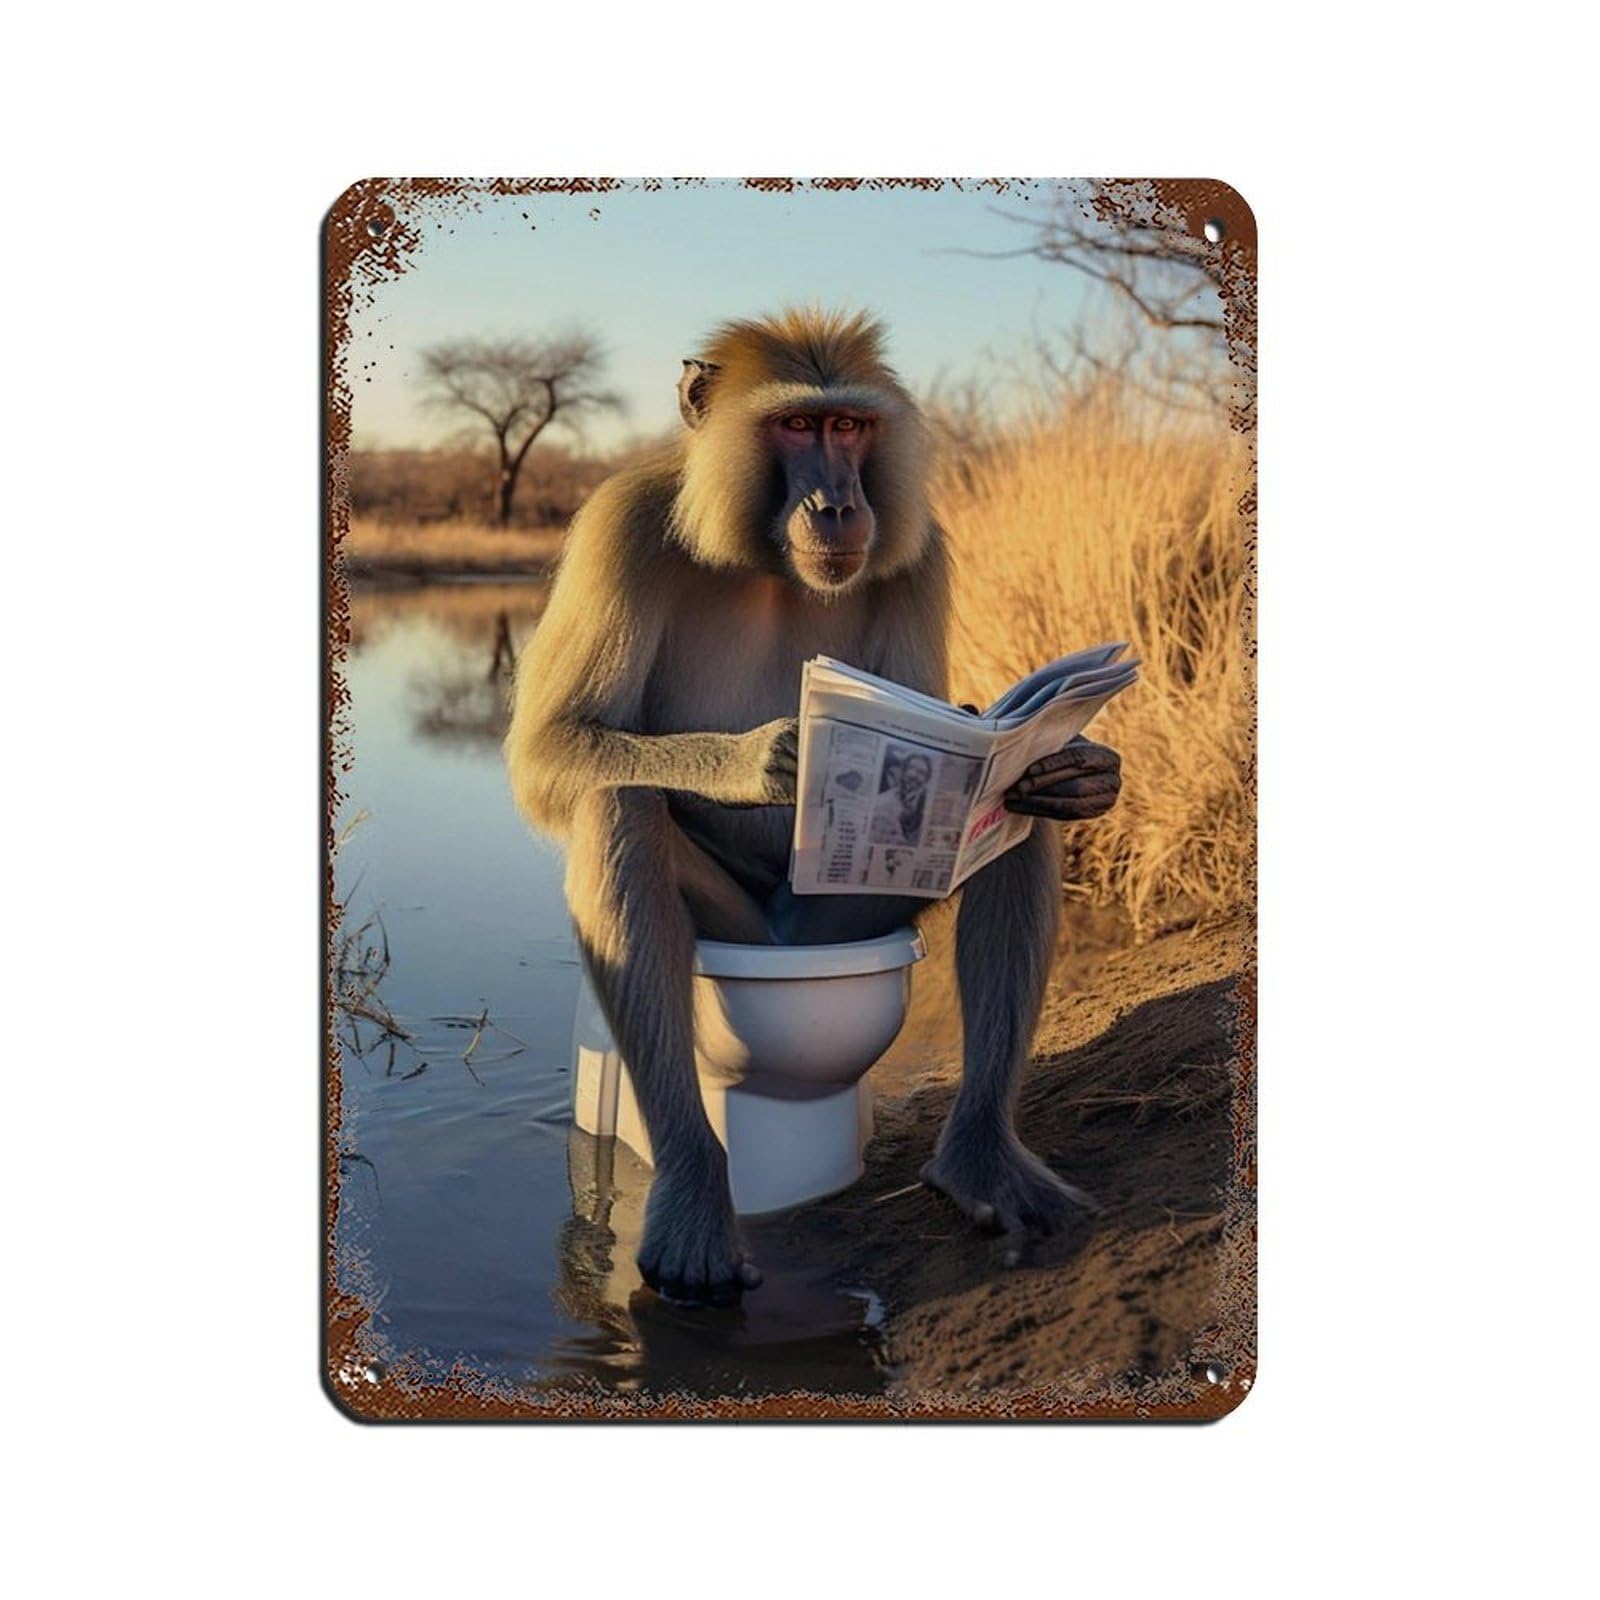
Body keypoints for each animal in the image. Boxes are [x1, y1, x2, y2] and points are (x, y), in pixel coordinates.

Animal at [506, 309, 1122, 1307]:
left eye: (849, 428)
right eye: (796, 426)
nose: (836, 506)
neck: (762, 560)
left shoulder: (920, 551)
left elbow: (980, 744)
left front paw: (1081, 770)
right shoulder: (619, 525)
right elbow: (550, 750)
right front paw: (768, 761)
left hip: (842, 920)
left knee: (1017, 825)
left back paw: (980, 1163)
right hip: (745, 939)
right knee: (616, 806)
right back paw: (693, 1204)